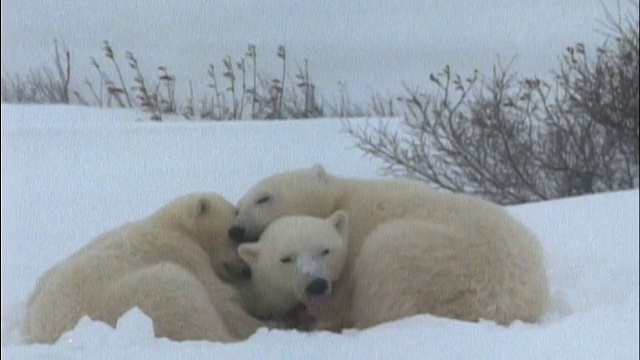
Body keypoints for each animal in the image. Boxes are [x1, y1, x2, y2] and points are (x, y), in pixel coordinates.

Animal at [20, 193, 264, 344]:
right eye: (234, 234)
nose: (245, 269)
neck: (175, 225)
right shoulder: (183, 252)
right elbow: (221, 297)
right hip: (128, 299)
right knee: (182, 302)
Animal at [228, 165, 548, 328]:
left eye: (263, 198)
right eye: (238, 207)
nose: (235, 229)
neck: (339, 198)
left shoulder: (351, 242)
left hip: (429, 257)